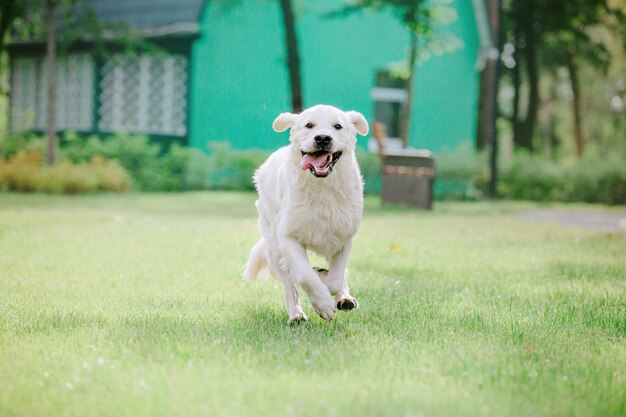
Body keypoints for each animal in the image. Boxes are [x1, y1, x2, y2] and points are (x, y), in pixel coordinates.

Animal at [243, 103, 370, 322]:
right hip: (273, 244)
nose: (323, 138)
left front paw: (327, 281)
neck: (322, 188)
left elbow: (336, 278)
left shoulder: (344, 237)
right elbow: (303, 275)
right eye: (309, 125)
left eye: (338, 126)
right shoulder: (288, 237)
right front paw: (323, 303)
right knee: (289, 282)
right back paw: (296, 314)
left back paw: (344, 297)